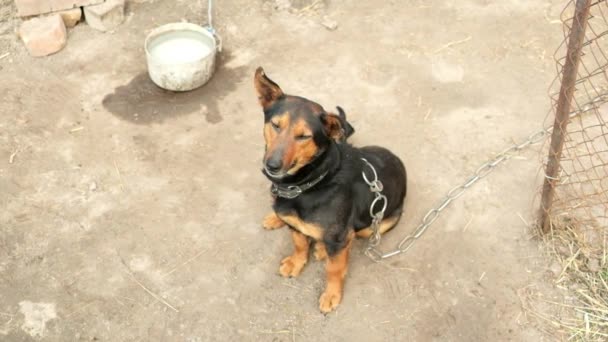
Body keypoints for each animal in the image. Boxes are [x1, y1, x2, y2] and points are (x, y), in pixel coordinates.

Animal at [254, 67, 406, 312]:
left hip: (376, 225)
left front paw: (332, 294)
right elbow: (299, 244)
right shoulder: (294, 221)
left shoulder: (340, 237)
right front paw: (297, 262)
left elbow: (334, 269)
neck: (311, 182)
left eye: (304, 136)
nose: (272, 165)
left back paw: (323, 249)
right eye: (276, 125)